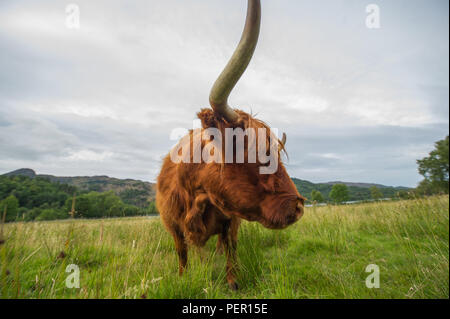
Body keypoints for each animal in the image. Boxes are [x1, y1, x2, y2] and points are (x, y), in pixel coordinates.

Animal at [156, 0, 306, 290]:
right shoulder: (172, 224)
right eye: (260, 154)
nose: (298, 206)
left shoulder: (231, 220)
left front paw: (233, 281)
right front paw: (182, 278)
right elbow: (182, 253)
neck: (198, 191)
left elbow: (231, 247)